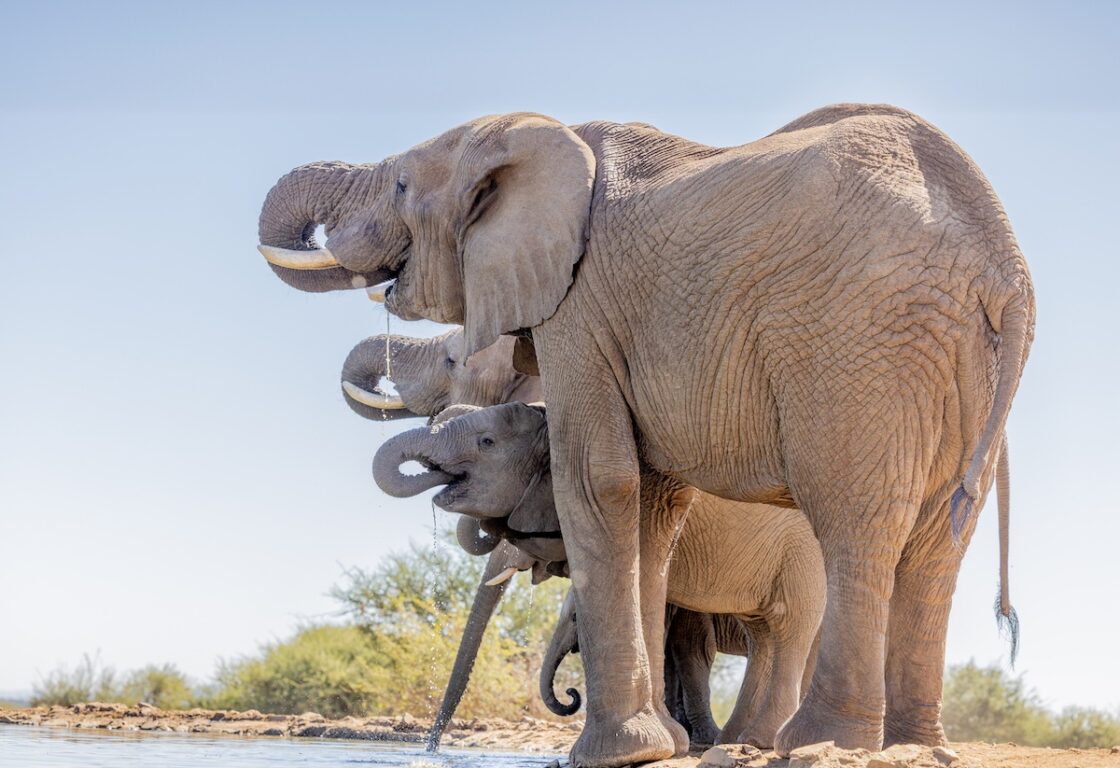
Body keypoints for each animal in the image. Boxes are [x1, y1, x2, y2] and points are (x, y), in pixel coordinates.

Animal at [373, 402, 826, 747]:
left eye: (487, 443)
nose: (431, 749)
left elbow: (680, 634)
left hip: (804, 555)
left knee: (790, 624)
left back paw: (758, 740)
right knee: (764, 633)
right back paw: (738, 739)